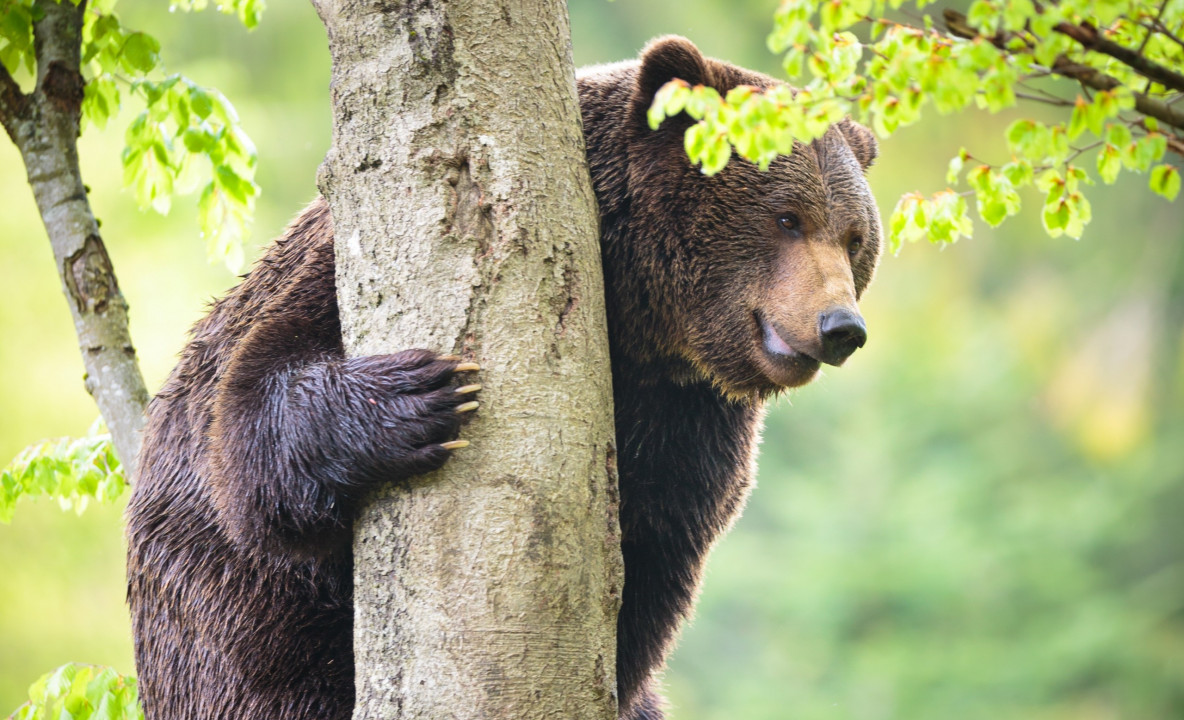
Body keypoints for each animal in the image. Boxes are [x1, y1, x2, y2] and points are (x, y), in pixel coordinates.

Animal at [127, 36, 880, 720]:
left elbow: (653, 562)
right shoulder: (341, 268)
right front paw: (421, 395)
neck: (636, 313)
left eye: (853, 237)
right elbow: (253, 420)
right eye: (786, 217)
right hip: (233, 623)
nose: (840, 326)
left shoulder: (686, 414)